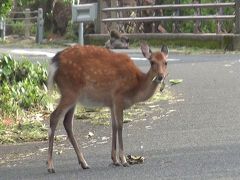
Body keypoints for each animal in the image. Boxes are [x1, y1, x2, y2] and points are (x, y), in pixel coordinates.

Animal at [46, 42, 167, 173]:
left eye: (165, 62)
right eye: (152, 62)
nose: (160, 76)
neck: (136, 87)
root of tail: (54, 62)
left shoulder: (111, 103)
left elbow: (113, 126)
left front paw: (115, 160)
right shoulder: (118, 97)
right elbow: (120, 125)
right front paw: (123, 160)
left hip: (73, 96)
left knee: (67, 122)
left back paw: (84, 163)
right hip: (69, 91)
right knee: (54, 116)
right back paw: (50, 166)